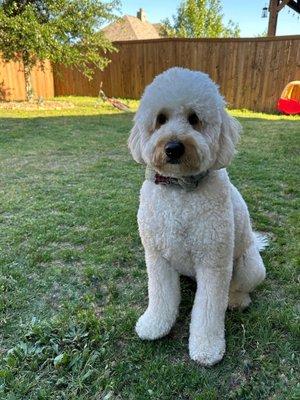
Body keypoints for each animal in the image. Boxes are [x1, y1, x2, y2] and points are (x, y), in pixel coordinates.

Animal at [127, 68, 266, 366]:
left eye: (194, 119)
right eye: (161, 119)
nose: (173, 147)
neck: (180, 189)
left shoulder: (213, 263)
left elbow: (208, 311)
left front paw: (207, 348)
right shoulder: (157, 257)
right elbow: (160, 296)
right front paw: (154, 325)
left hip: (249, 266)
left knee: (238, 289)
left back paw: (236, 300)